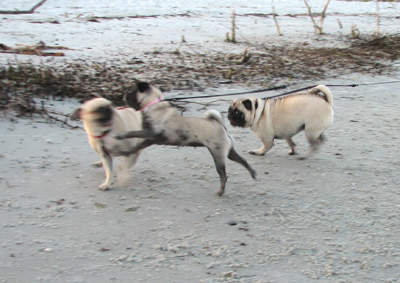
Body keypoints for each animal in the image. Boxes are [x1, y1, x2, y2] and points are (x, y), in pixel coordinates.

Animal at [115, 82, 258, 197]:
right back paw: (252, 173)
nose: (123, 94)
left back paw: (220, 192)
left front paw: (121, 138)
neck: (153, 104)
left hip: (218, 156)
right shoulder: (149, 138)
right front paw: (128, 151)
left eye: (130, 92)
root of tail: (219, 125)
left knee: (223, 176)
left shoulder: (150, 134)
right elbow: (137, 144)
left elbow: (133, 133)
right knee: (243, 160)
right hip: (228, 153)